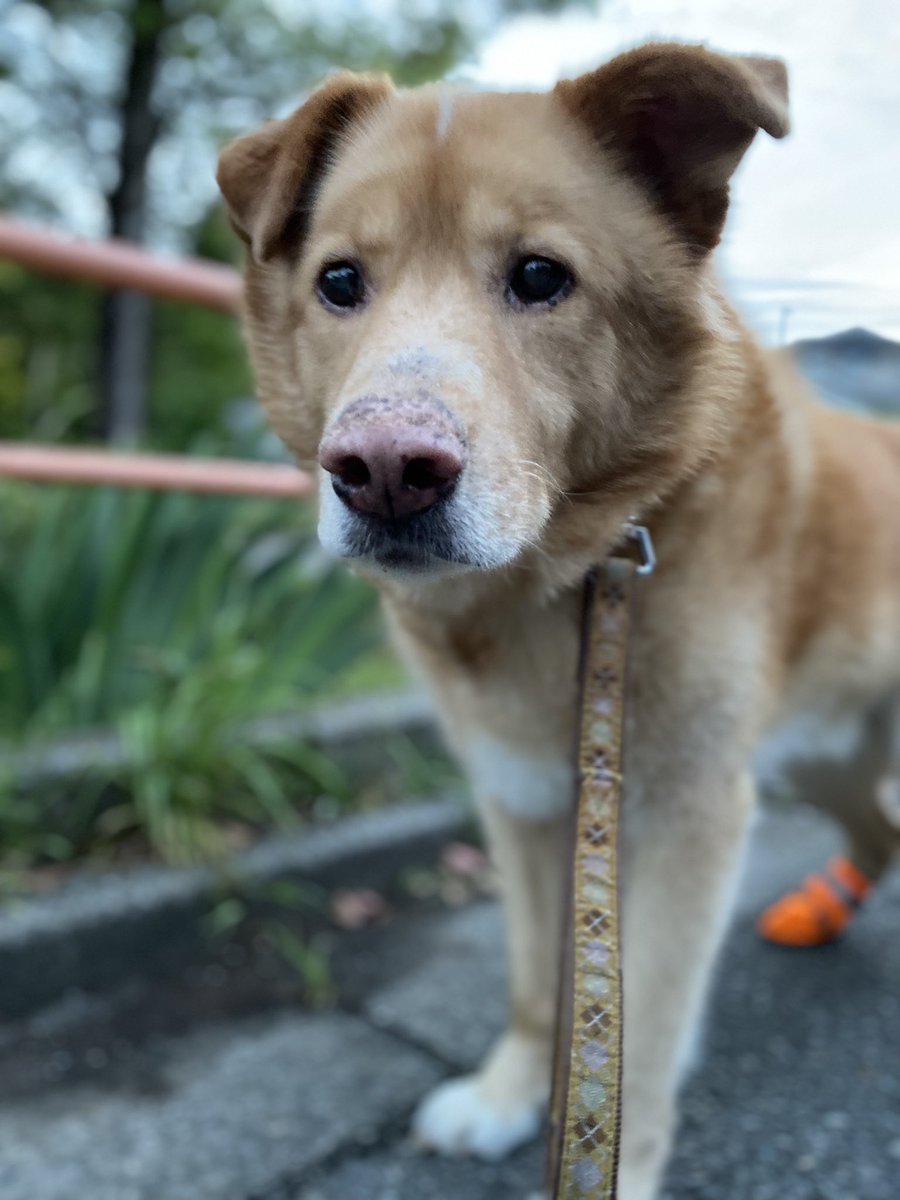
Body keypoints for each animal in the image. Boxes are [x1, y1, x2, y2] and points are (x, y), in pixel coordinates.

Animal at [218, 46, 900, 1200]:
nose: (383, 471)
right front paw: (507, 1099)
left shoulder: (692, 813)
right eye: (340, 283)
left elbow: (646, 1033)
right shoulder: (527, 801)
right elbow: (547, 983)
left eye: (541, 277)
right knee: (881, 831)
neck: (564, 579)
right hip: (823, 757)